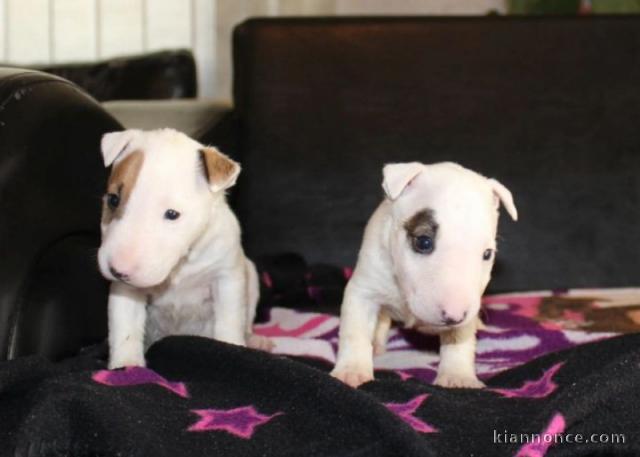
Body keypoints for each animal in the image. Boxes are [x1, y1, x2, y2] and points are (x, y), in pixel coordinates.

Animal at [96, 126, 268, 368]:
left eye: (172, 214)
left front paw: (232, 349)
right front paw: (126, 366)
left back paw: (257, 341)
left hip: (250, 275)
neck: (181, 265)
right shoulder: (126, 290)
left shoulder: (226, 277)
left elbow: (229, 321)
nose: (118, 270)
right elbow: (125, 326)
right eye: (113, 199)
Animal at [332, 162, 516, 386]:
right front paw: (352, 371)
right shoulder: (364, 288)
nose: (454, 316)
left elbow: (459, 339)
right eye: (423, 242)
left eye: (487, 254)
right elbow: (355, 331)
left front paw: (458, 376)